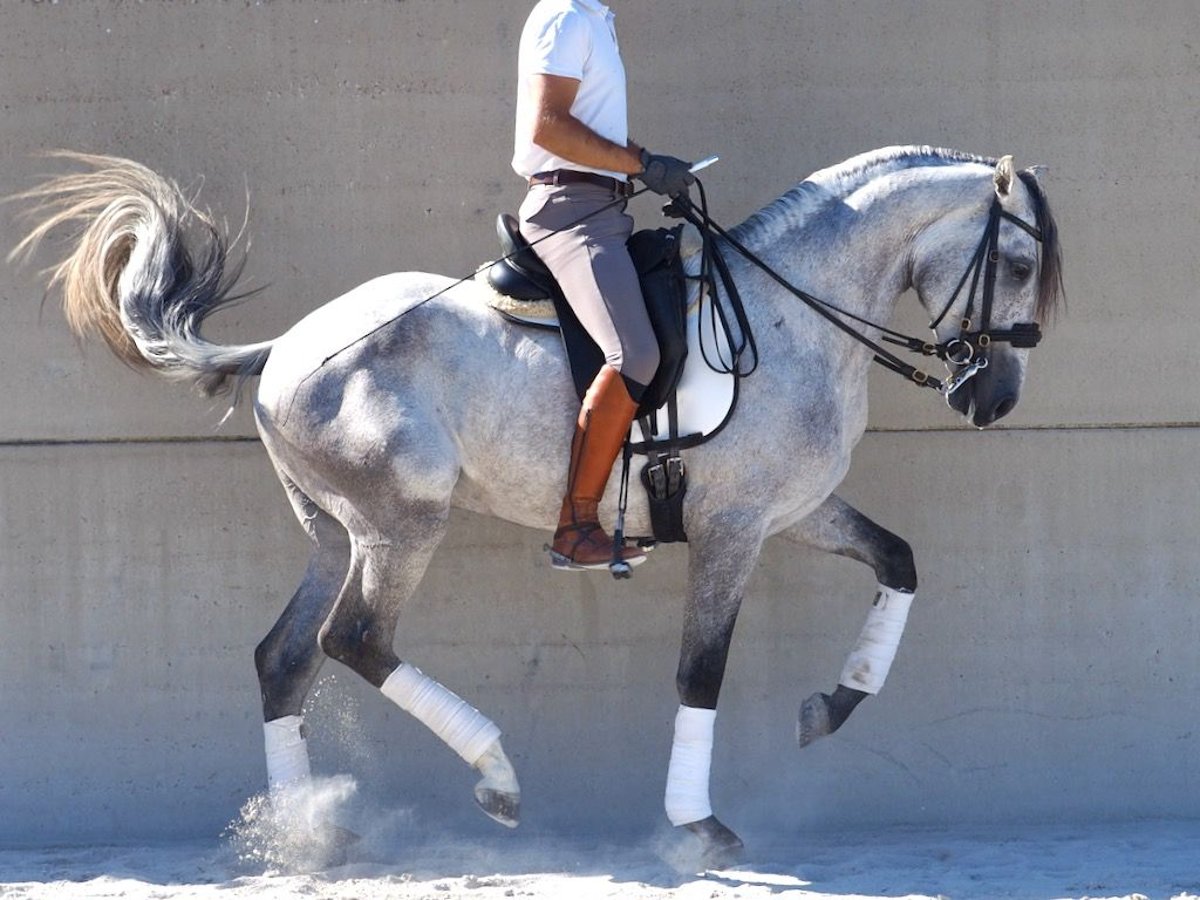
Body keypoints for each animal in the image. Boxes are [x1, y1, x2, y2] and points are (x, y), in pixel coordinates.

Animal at [14, 148, 1065, 868]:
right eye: (1017, 264)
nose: (993, 397)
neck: (790, 316)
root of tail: (285, 346)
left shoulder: (793, 509)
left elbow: (898, 561)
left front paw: (829, 707)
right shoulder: (732, 531)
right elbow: (702, 669)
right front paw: (697, 826)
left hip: (335, 534)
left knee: (284, 658)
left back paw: (306, 835)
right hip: (401, 524)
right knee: (353, 639)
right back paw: (497, 778)